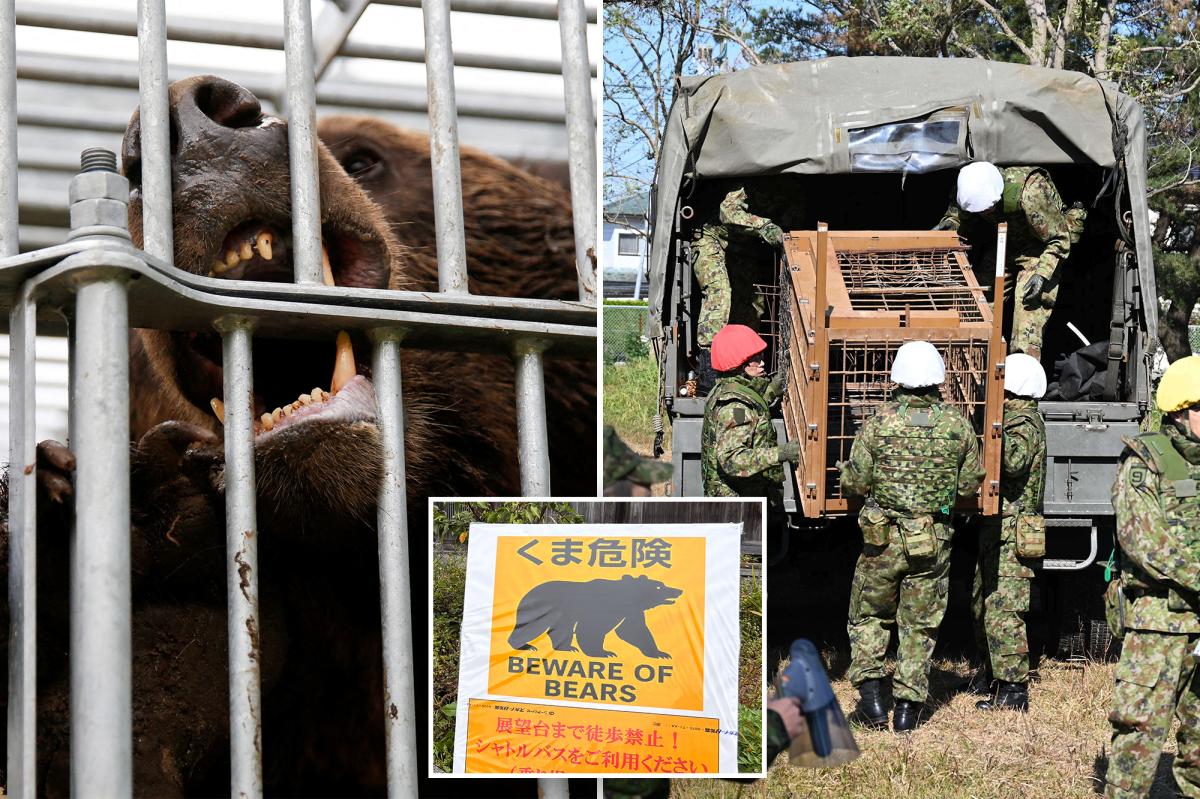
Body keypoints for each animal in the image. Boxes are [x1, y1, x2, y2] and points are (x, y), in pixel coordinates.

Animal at [508, 575, 683, 659]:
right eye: (659, 586)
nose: (679, 590)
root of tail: (527, 593)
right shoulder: (601, 606)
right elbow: (591, 629)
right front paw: (604, 652)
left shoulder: (630, 611)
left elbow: (633, 630)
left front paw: (661, 653)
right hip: (541, 608)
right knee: (530, 626)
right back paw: (525, 645)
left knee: (561, 629)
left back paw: (567, 647)